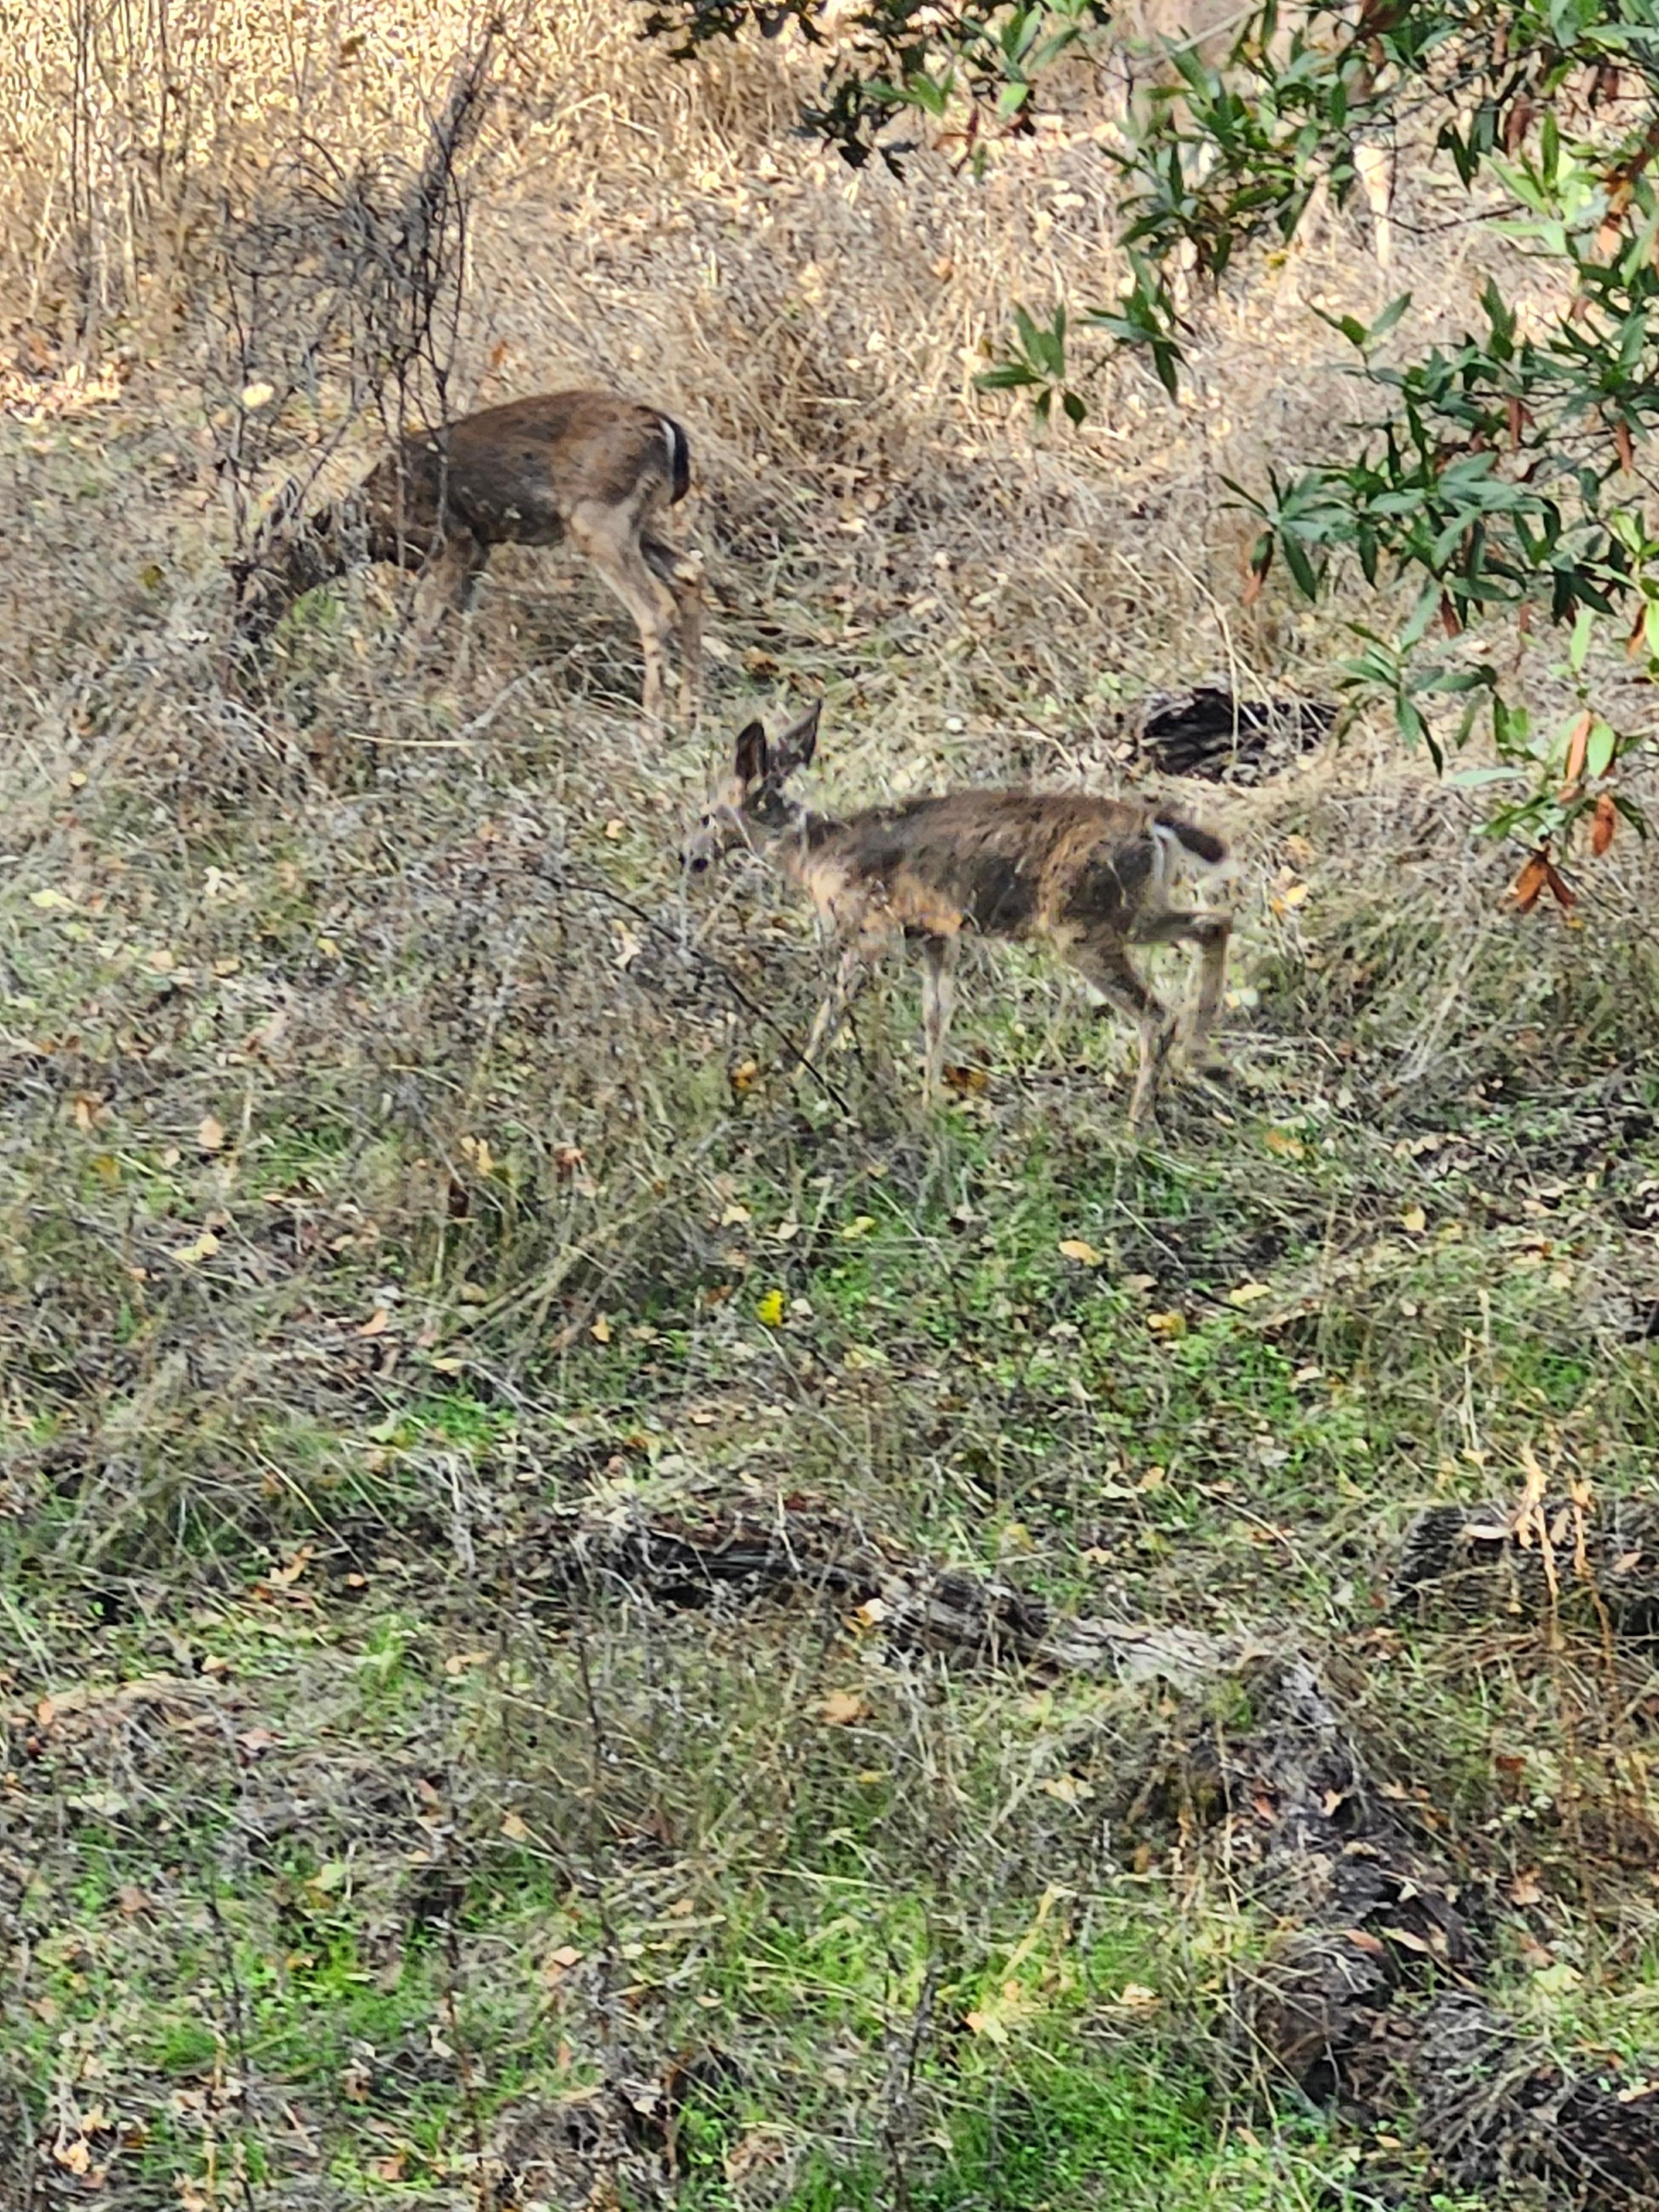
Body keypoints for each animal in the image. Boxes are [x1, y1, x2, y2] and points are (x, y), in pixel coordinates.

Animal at [234, 391, 703, 726]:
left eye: (262, 574)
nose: (246, 629)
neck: (377, 524)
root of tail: (666, 430)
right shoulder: (480, 547)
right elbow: (463, 626)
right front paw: (458, 699)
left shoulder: (453, 540)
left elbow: (423, 630)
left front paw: (395, 699)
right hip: (635, 522)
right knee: (689, 573)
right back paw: (687, 717)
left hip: (598, 517)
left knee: (655, 608)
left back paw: (651, 726)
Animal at [684, 703, 1233, 1130]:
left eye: (709, 813)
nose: (690, 857)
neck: (814, 852)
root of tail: (1151, 824)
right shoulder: (936, 934)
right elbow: (936, 1016)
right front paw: (930, 1107)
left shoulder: (870, 928)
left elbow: (832, 1012)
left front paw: (800, 1084)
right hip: (1132, 911)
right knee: (1215, 921)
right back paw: (1204, 1057)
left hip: (1081, 925)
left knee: (1157, 1014)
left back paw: (1137, 1126)